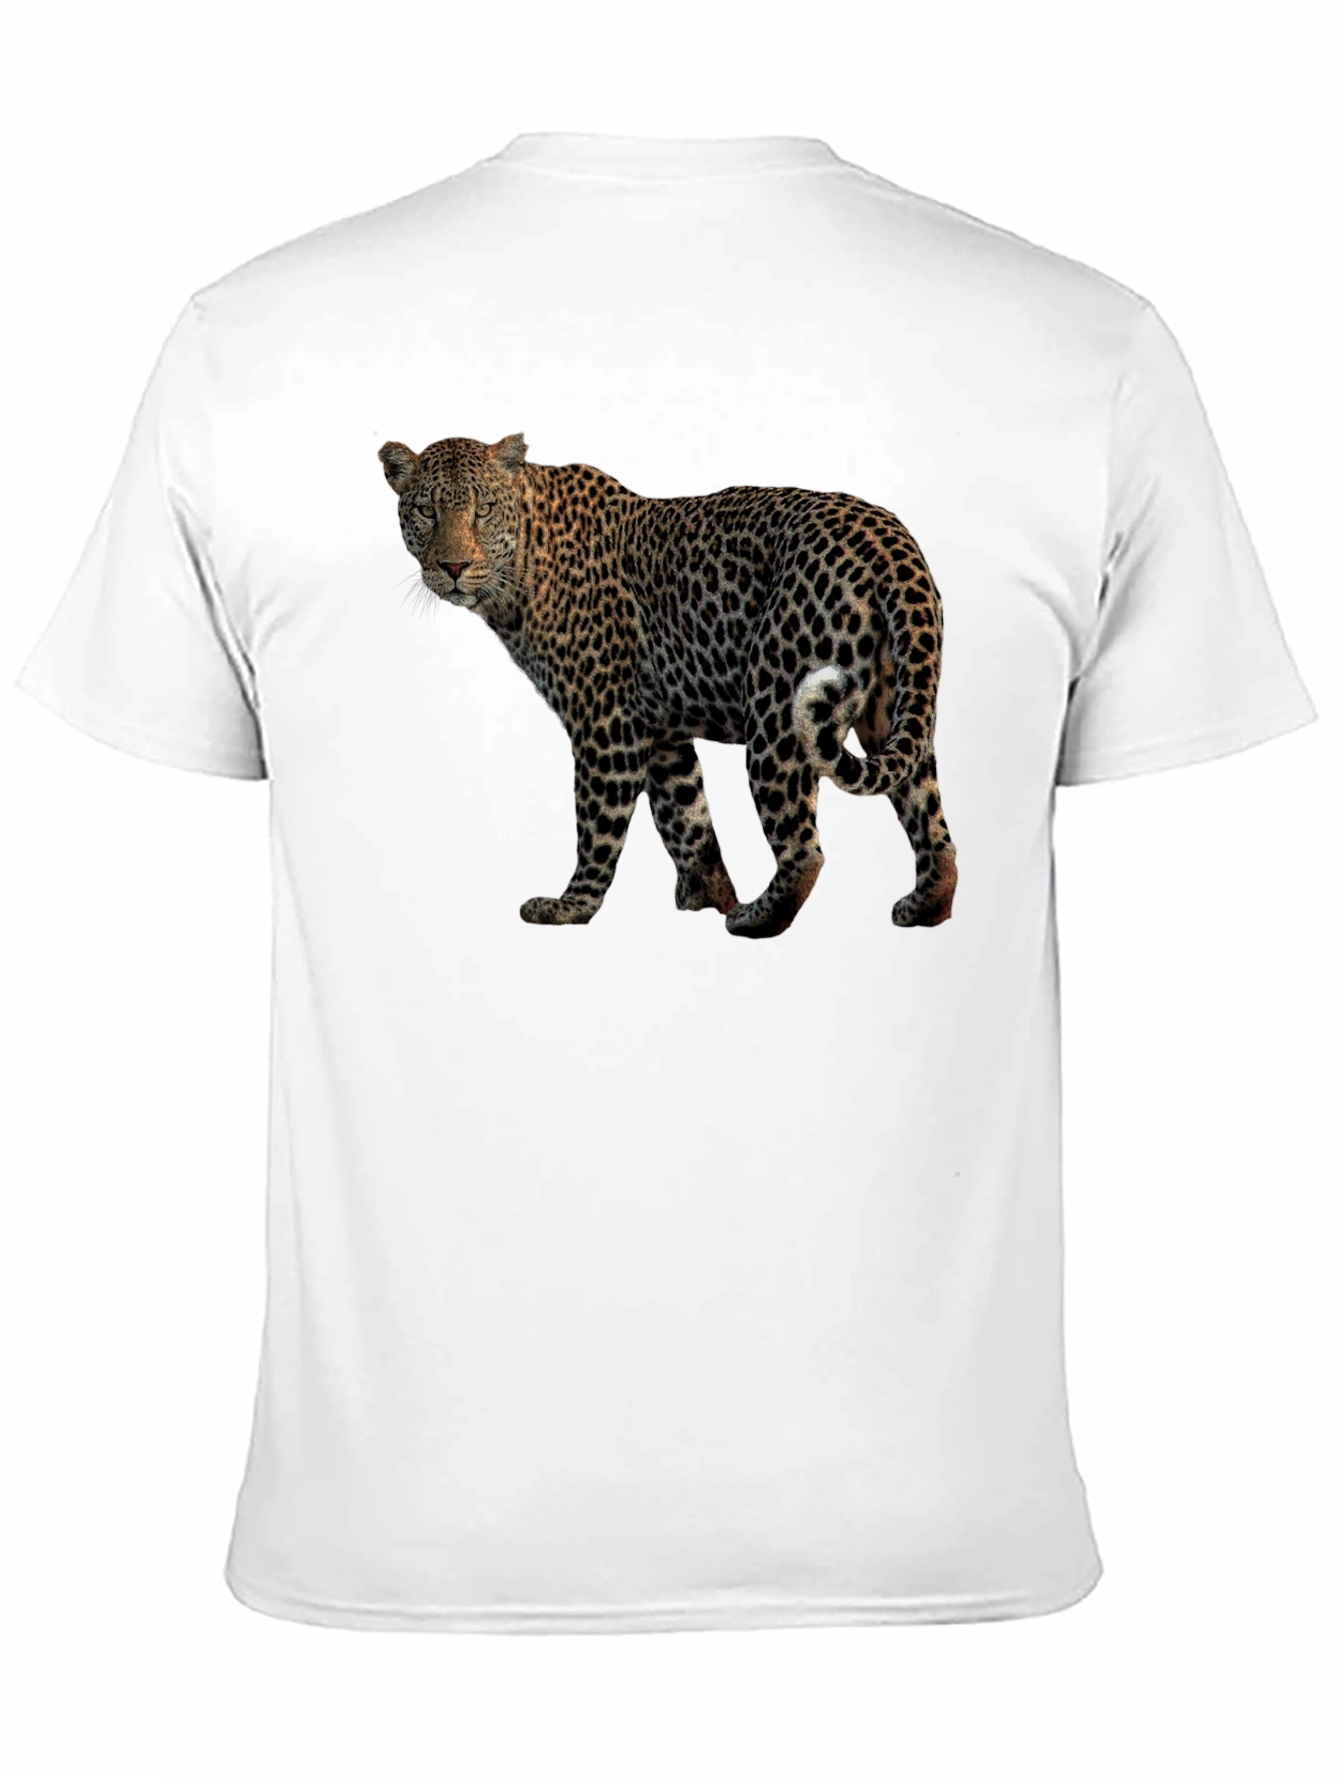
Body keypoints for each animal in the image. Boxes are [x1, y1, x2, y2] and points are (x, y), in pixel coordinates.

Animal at [378, 432, 957, 939]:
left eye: (481, 509)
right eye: (427, 510)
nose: (454, 566)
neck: (520, 569)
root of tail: (891, 540)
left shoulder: (606, 724)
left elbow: (598, 825)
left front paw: (571, 906)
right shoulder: (659, 730)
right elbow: (686, 818)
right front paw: (705, 896)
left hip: (777, 710)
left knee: (804, 849)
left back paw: (755, 919)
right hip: (895, 704)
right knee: (931, 821)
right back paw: (924, 907)